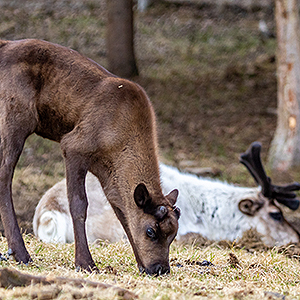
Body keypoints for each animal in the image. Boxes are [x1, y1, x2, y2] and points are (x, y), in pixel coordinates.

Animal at [0, 39, 180, 276]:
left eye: (173, 235)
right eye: (150, 231)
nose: (160, 268)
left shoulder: (108, 175)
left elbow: (122, 214)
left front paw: (139, 263)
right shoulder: (74, 147)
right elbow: (78, 204)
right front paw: (85, 262)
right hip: (15, 119)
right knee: (4, 174)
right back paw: (21, 253)